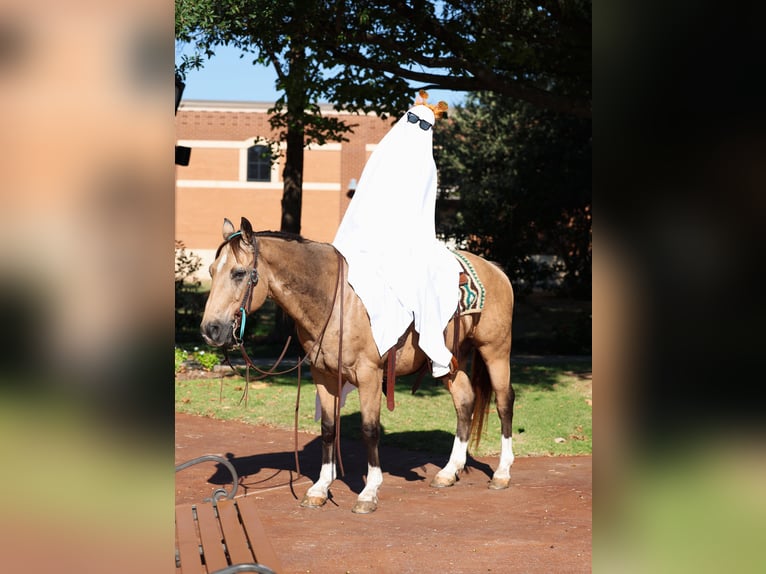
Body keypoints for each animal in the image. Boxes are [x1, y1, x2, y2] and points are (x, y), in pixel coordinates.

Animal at [200, 217, 515, 514]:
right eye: (212, 271)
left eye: (239, 273)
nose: (210, 329)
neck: (336, 298)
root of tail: (495, 270)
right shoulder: (323, 375)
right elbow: (328, 429)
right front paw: (319, 488)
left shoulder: (369, 375)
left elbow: (369, 429)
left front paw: (368, 492)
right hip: (450, 361)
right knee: (465, 401)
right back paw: (449, 472)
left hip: (495, 350)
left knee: (504, 402)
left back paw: (501, 473)